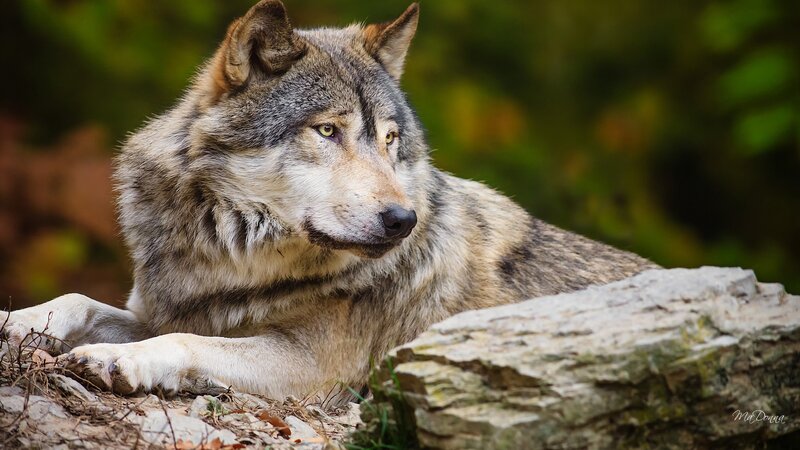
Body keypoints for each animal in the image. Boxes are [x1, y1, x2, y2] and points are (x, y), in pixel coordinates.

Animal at [1, 1, 655, 404]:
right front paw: (16, 322)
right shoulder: (164, 308)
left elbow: (186, 343)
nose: (402, 220)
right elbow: (76, 301)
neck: (232, 259)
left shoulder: (309, 367)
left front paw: (120, 362)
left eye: (390, 141)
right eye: (328, 131)